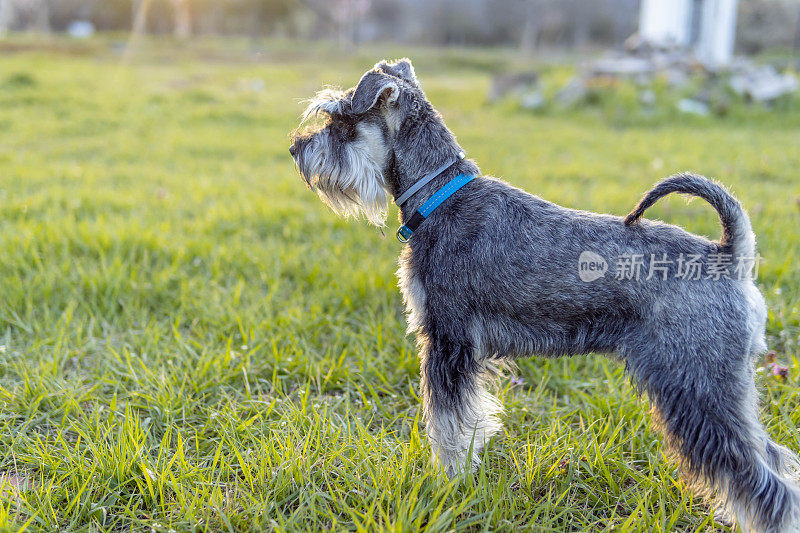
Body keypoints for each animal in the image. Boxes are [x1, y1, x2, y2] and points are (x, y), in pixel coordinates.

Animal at [292, 59, 800, 532]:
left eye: (340, 121)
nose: (297, 148)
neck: (440, 196)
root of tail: (729, 255)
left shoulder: (447, 340)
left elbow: (447, 424)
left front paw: (448, 483)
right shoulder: (461, 349)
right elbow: (468, 421)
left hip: (698, 387)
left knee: (763, 481)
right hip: (724, 387)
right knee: (774, 457)